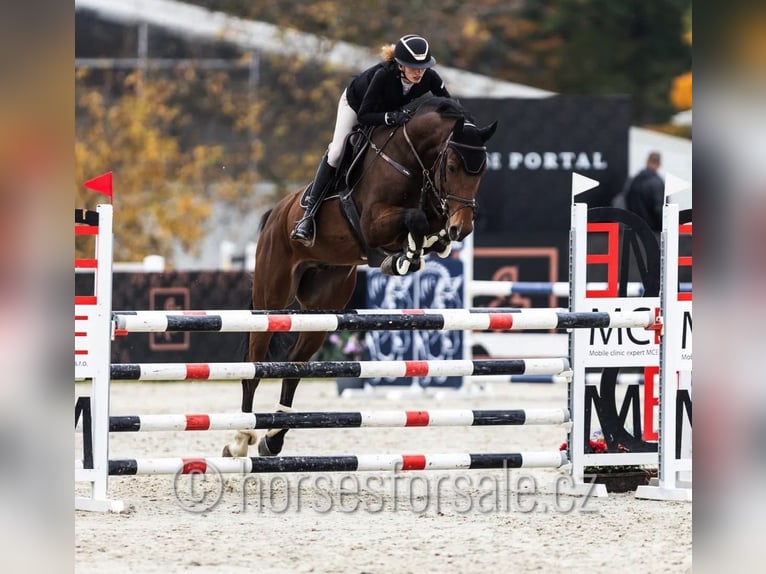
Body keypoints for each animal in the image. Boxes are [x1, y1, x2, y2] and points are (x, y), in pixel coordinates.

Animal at [223, 96, 497, 457]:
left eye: (482, 170)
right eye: (452, 167)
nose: (462, 229)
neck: (412, 160)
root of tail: (275, 214)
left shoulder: (435, 210)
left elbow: (429, 227)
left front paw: (419, 252)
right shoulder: (373, 222)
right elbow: (415, 219)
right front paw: (404, 257)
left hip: (323, 310)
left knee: (294, 367)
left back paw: (274, 438)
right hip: (272, 298)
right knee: (254, 366)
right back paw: (240, 439)